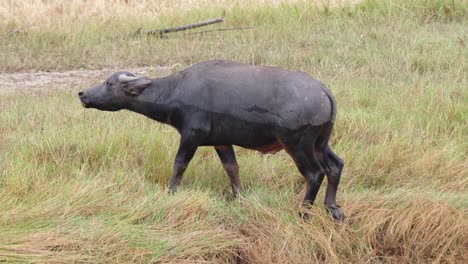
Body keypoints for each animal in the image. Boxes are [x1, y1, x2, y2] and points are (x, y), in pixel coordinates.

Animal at [79, 60, 344, 221]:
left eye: (108, 83)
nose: (82, 93)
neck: (177, 90)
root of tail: (324, 92)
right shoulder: (222, 142)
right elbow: (232, 169)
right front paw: (238, 198)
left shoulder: (191, 135)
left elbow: (179, 165)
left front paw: (171, 191)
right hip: (321, 143)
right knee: (336, 165)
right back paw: (332, 208)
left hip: (298, 145)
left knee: (315, 174)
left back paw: (304, 213)